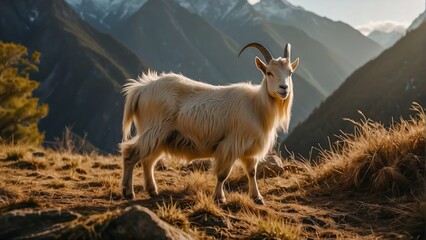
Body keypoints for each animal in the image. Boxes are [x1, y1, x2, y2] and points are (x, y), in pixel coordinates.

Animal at [120, 42, 300, 204]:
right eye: (269, 73)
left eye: (290, 73)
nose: (284, 88)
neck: (256, 106)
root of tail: (141, 89)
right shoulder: (230, 145)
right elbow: (222, 174)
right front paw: (219, 198)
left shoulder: (250, 149)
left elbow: (252, 172)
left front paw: (257, 197)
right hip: (154, 130)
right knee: (131, 154)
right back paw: (128, 192)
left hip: (162, 137)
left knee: (148, 161)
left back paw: (152, 191)